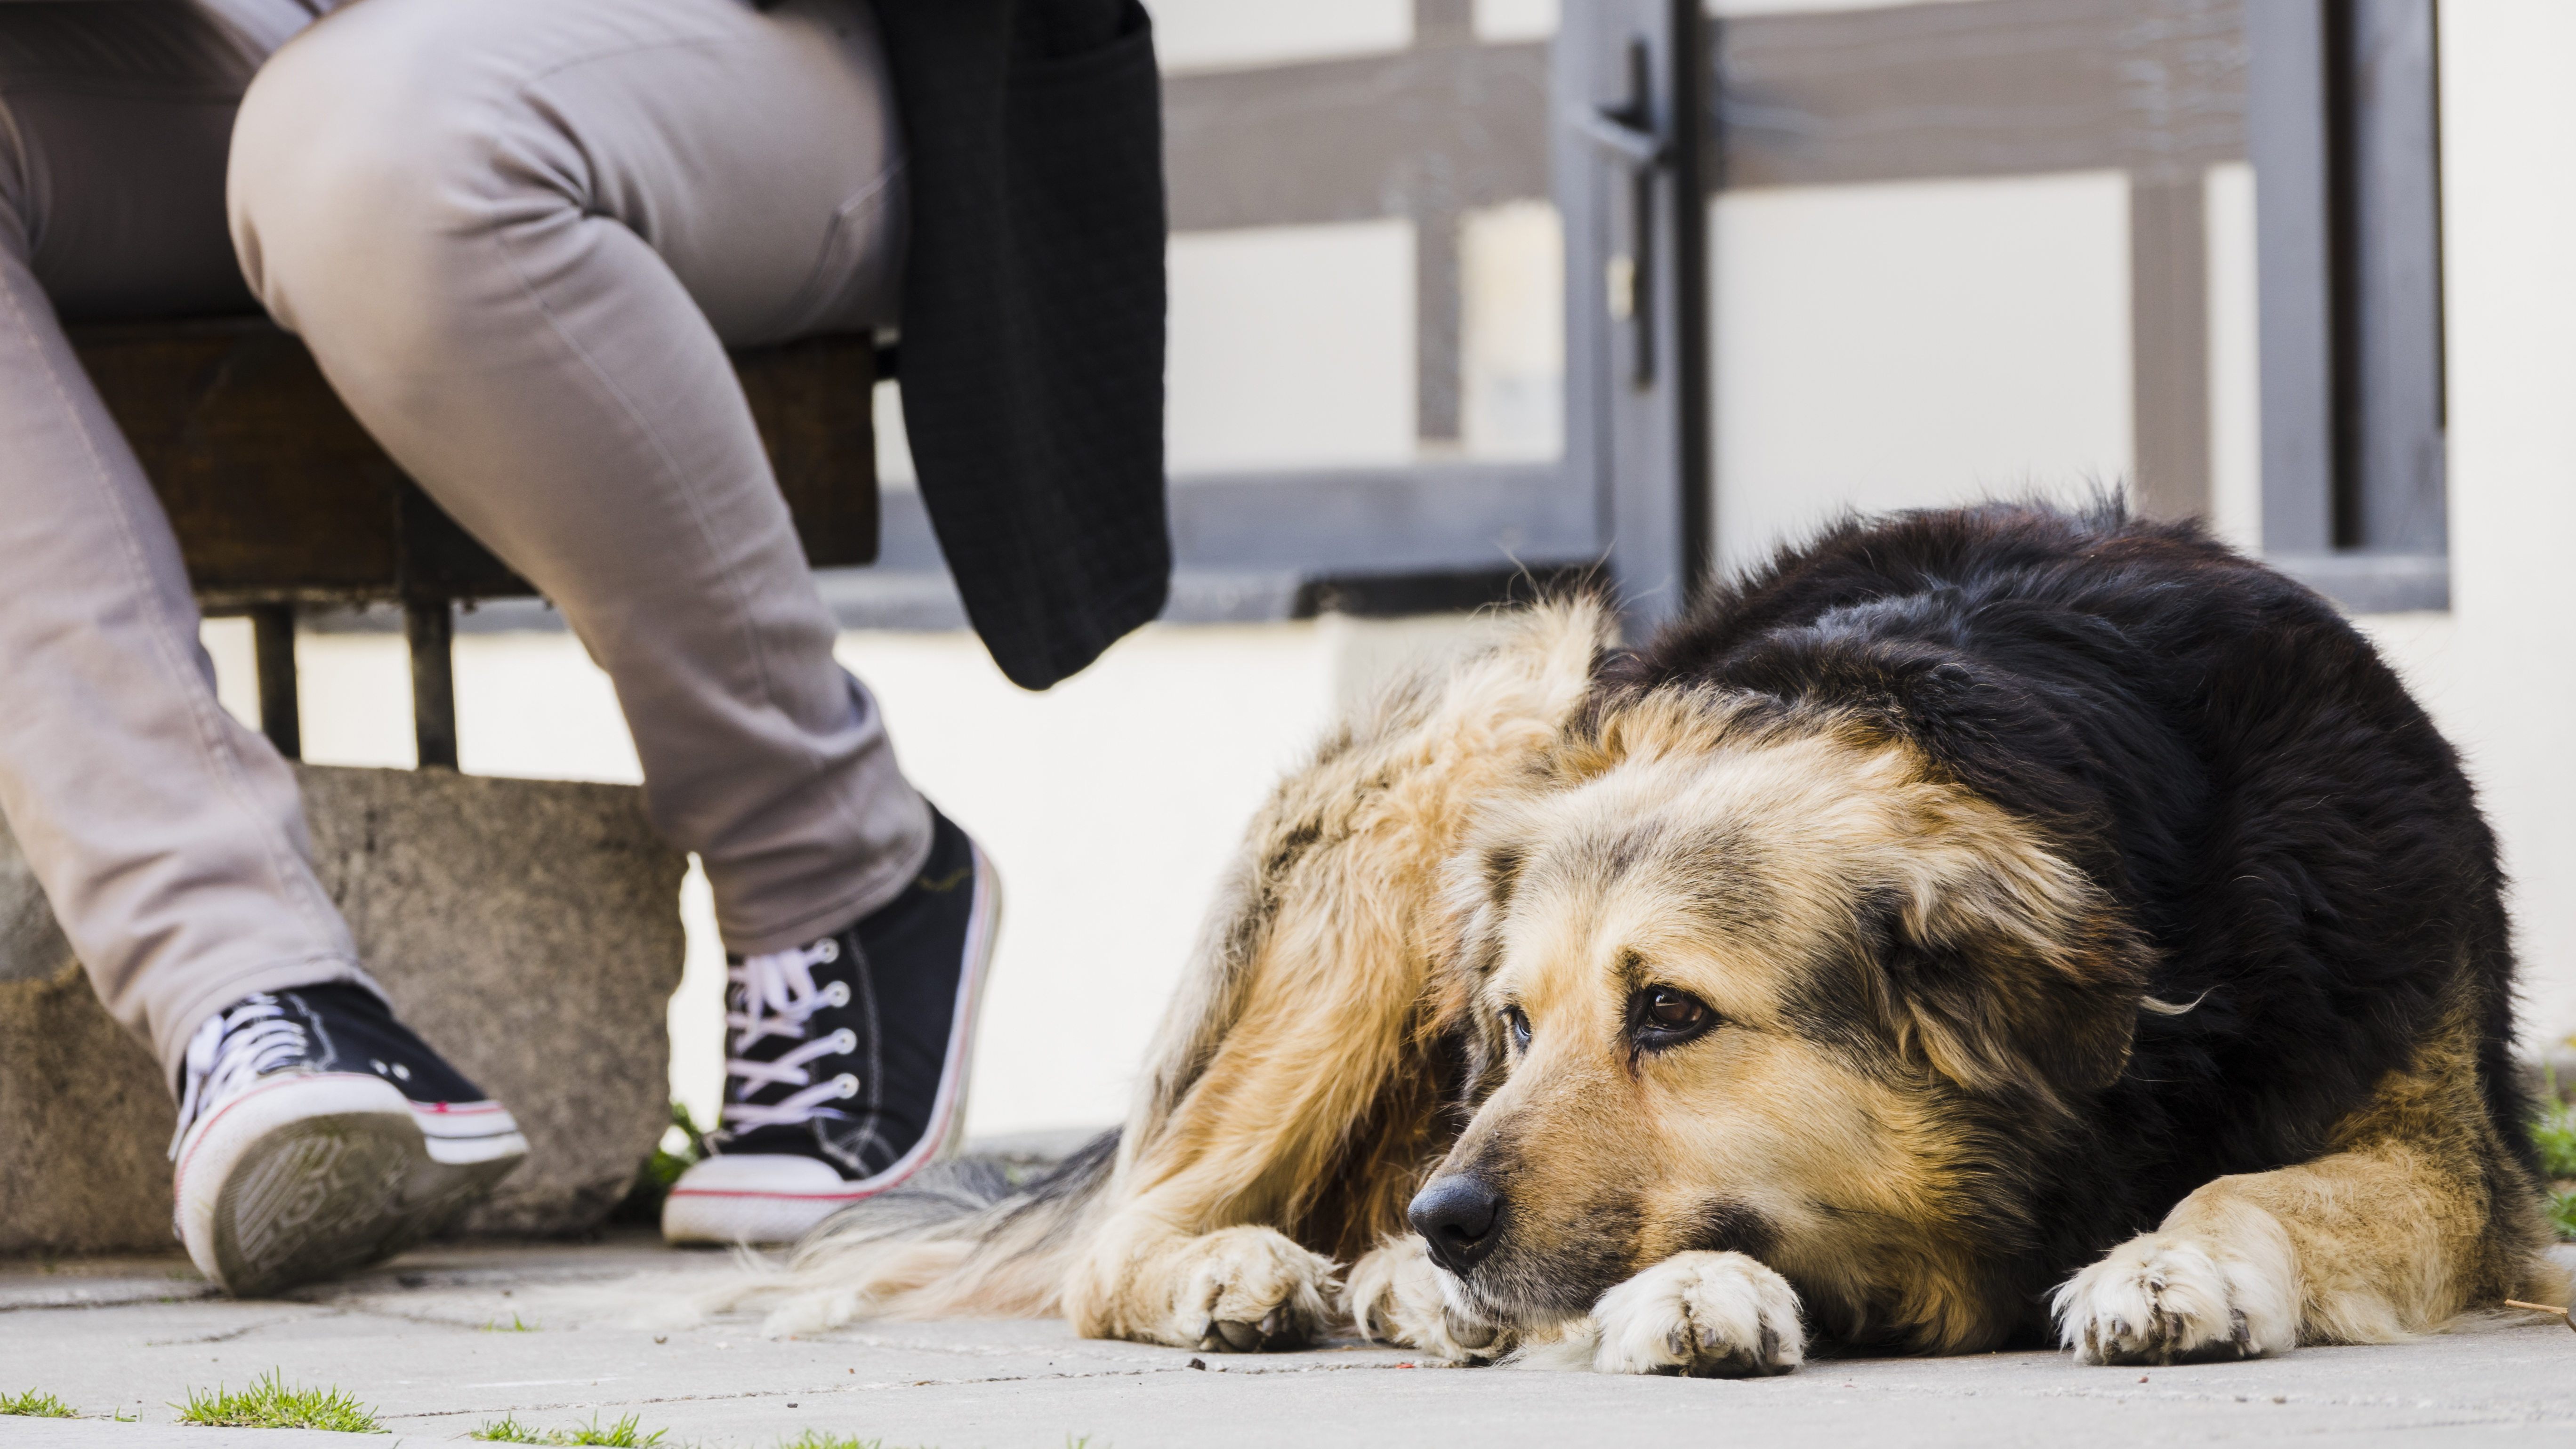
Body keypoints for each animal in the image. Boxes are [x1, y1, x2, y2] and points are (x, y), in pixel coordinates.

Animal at [736, 502, 2566, 1371]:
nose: (1448, 1217)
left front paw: (2171, 1258)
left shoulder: (2443, 1152)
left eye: (1674, 1012)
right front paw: (1687, 1290)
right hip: (1480, 735)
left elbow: (2259, 1186)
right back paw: (1266, 1271)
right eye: (1515, 1022)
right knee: (1131, 1225)